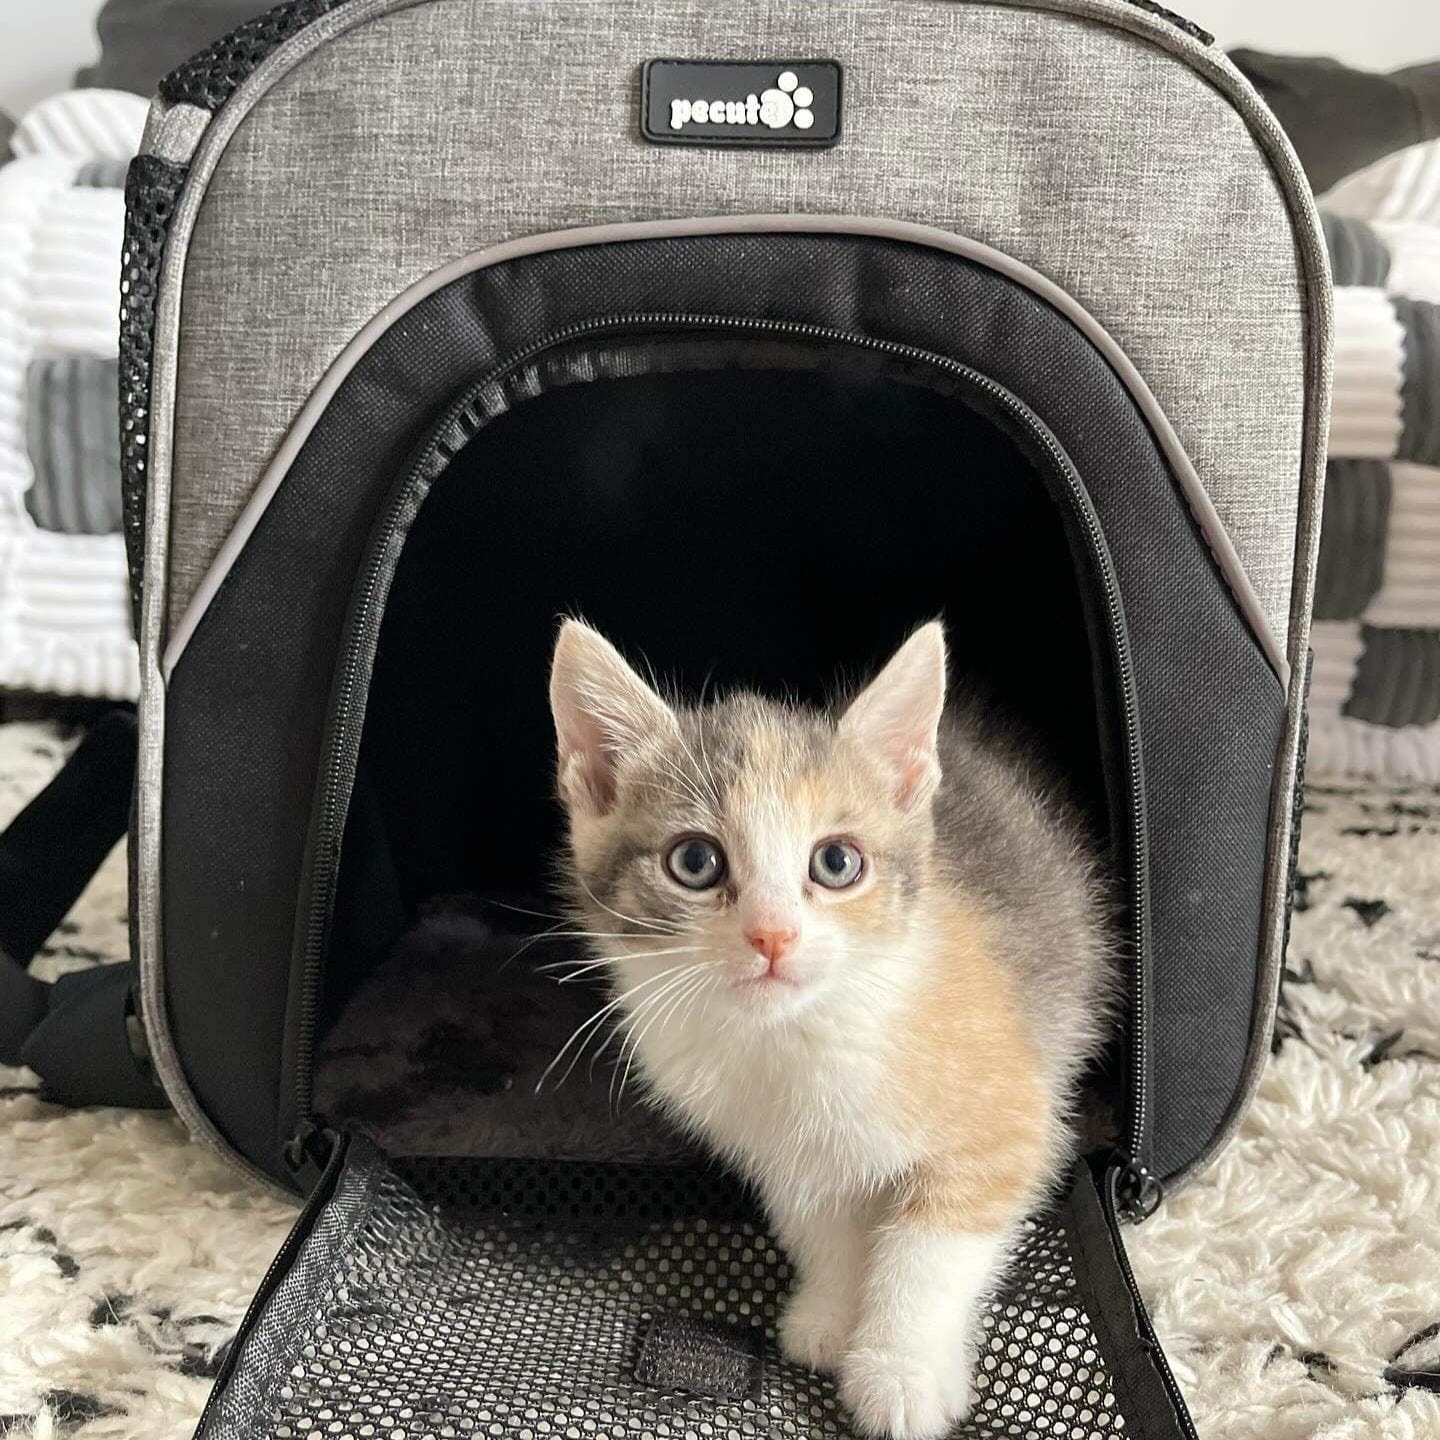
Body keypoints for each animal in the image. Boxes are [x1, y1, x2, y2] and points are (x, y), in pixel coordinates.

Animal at [547, 617, 1113, 1440]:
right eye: (695, 860)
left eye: (837, 862)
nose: (772, 936)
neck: (799, 1037)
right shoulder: (789, 1155)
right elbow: (824, 1226)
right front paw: (830, 1318)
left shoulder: (1007, 1124)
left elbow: (930, 1252)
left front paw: (900, 1370)